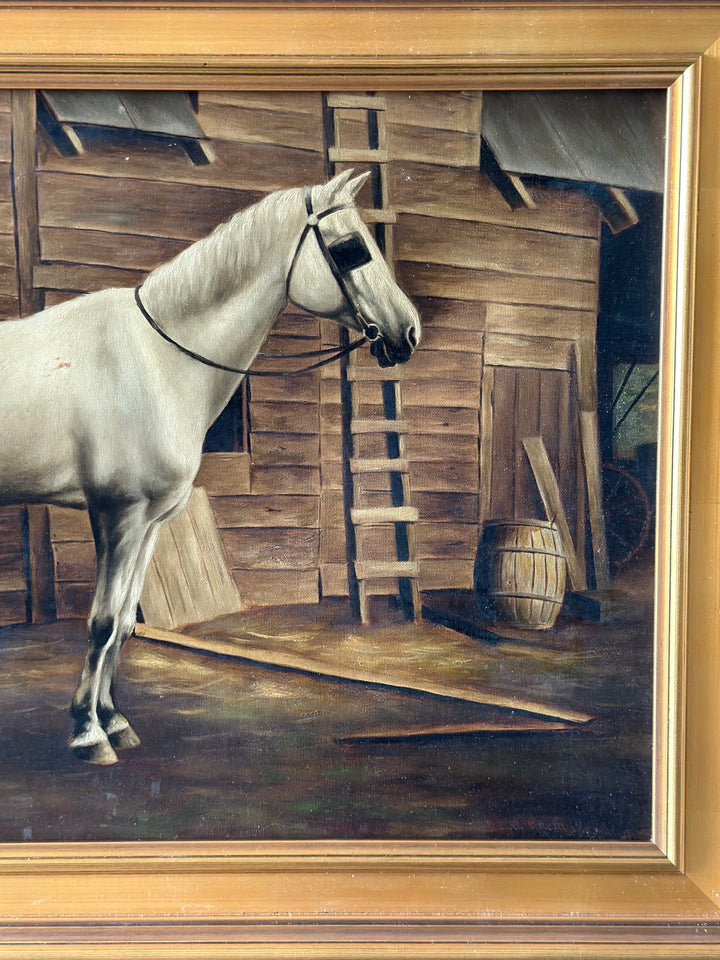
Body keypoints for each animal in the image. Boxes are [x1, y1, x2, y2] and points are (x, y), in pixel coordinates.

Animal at [0, 170, 421, 764]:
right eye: (350, 248)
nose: (409, 333)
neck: (156, 360)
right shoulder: (117, 514)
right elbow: (102, 623)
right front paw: (87, 732)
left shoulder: (149, 522)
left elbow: (123, 623)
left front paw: (114, 720)